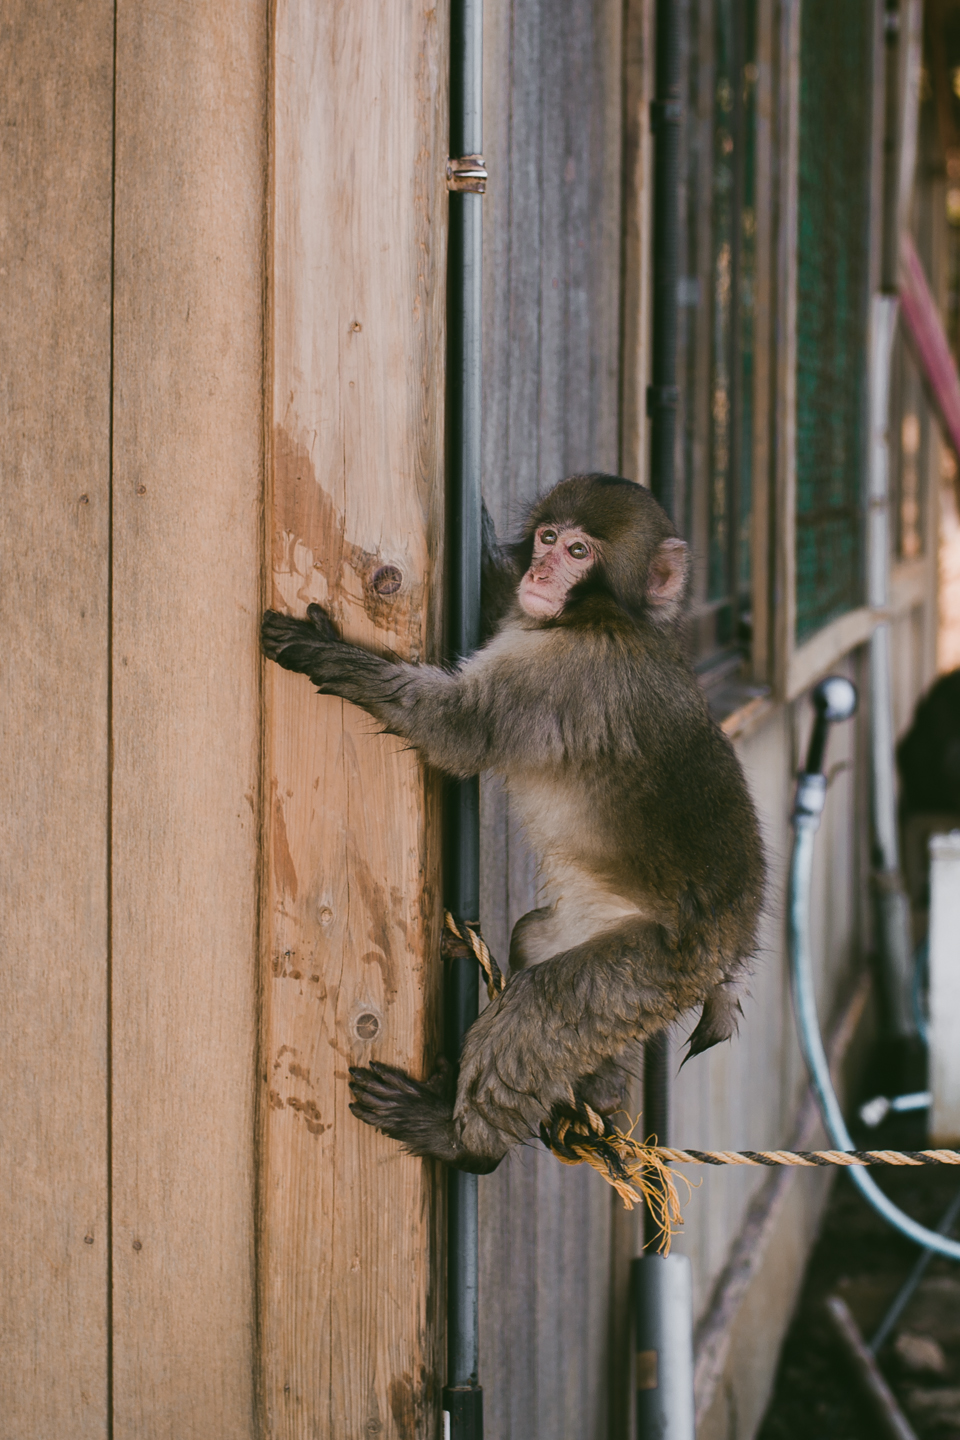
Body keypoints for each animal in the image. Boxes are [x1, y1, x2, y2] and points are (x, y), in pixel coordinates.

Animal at [260, 478, 765, 1175]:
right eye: (548, 537)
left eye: (579, 551)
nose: (542, 572)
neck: (596, 617)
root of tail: (730, 951)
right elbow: (496, 596)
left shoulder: (564, 674)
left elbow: (455, 729)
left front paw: (325, 655)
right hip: (601, 937)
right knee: (534, 939)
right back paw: (598, 1098)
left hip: (662, 963)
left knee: (543, 1002)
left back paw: (462, 1141)